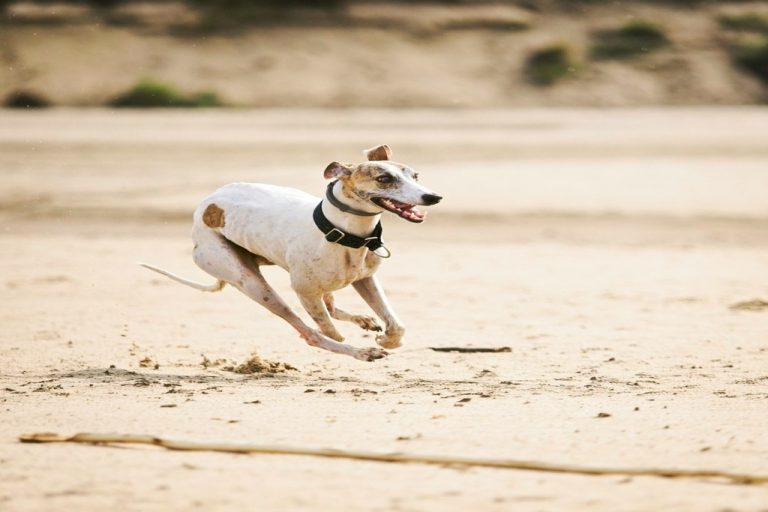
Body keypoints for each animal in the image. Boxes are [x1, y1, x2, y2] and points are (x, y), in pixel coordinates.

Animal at [143, 144, 440, 360]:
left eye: (415, 176)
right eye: (384, 178)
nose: (434, 197)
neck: (340, 232)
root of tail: (204, 207)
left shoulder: (365, 279)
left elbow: (396, 325)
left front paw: (386, 337)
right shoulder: (304, 290)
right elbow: (325, 327)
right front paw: (356, 339)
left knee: (330, 306)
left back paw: (364, 321)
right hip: (252, 284)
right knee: (311, 332)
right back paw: (360, 351)